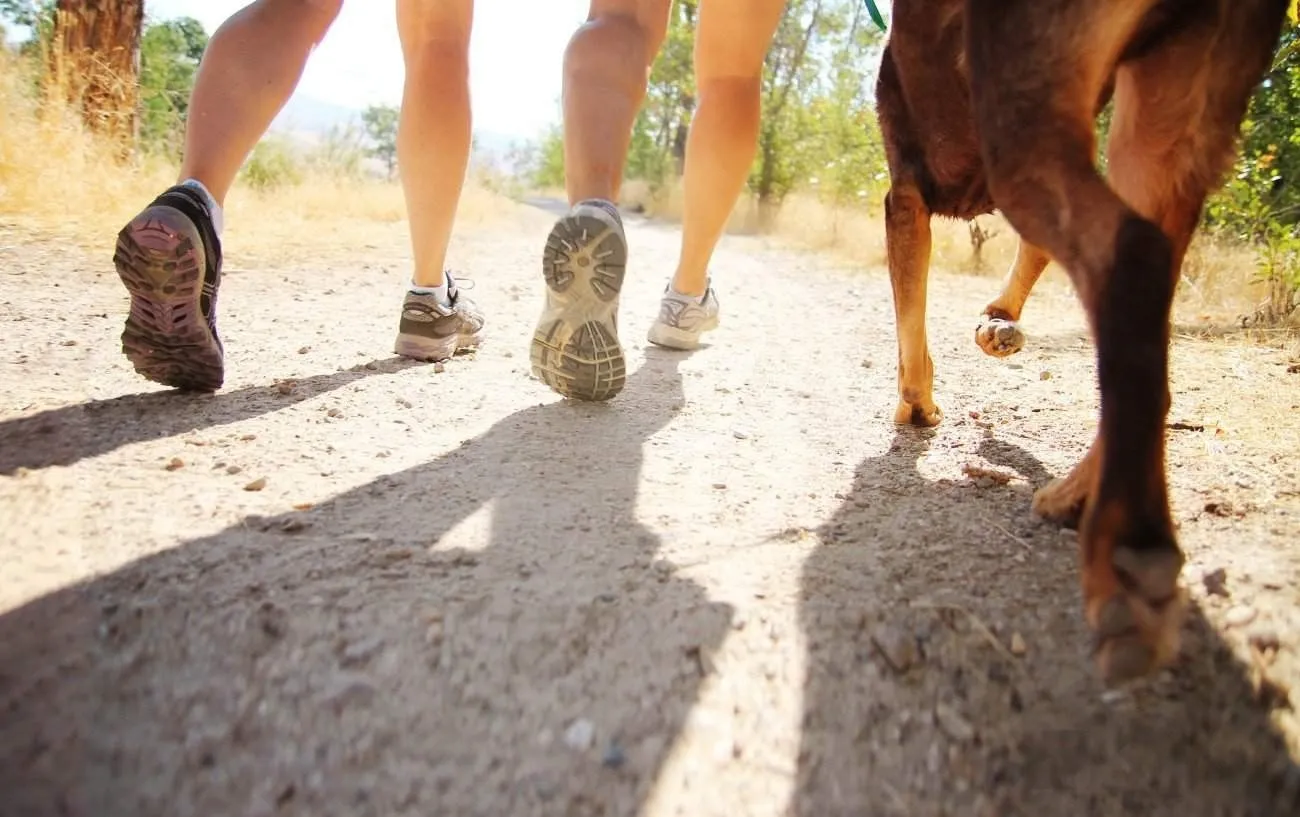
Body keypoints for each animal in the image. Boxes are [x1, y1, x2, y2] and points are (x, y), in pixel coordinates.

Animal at [873, 0, 1289, 681]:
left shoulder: (904, 195)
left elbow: (913, 325)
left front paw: (914, 405)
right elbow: (1028, 255)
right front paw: (996, 325)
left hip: (1026, 117)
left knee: (1133, 256)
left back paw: (1129, 551)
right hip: (1165, 120)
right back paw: (1075, 496)